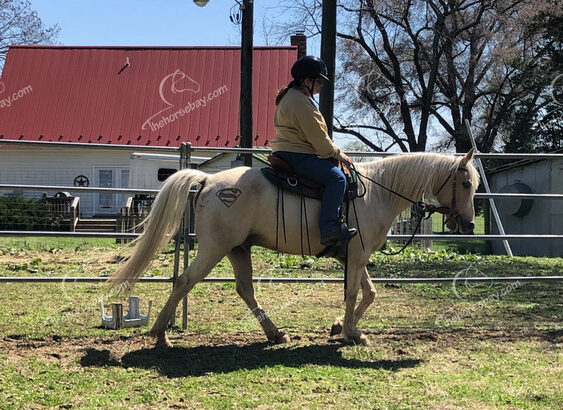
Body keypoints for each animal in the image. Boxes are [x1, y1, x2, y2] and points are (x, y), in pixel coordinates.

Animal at [111, 149, 480, 348]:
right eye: (464, 183)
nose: (468, 224)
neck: (377, 192)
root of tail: (208, 180)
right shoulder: (358, 254)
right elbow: (353, 293)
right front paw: (351, 333)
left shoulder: (354, 257)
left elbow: (369, 293)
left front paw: (341, 327)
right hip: (214, 249)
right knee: (185, 281)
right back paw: (161, 334)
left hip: (238, 249)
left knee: (245, 289)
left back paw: (275, 334)